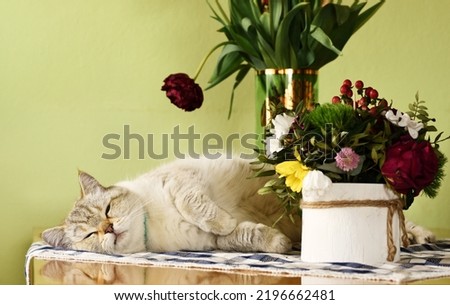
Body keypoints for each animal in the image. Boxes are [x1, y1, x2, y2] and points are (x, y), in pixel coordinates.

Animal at [42, 156, 302, 253]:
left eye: (107, 210)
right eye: (89, 235)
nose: (109, 229)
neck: (152, 225)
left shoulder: (181, 180)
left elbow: (192, 206)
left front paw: (221, 221)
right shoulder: (212, 242)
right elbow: (242, 235)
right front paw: (280, 243)